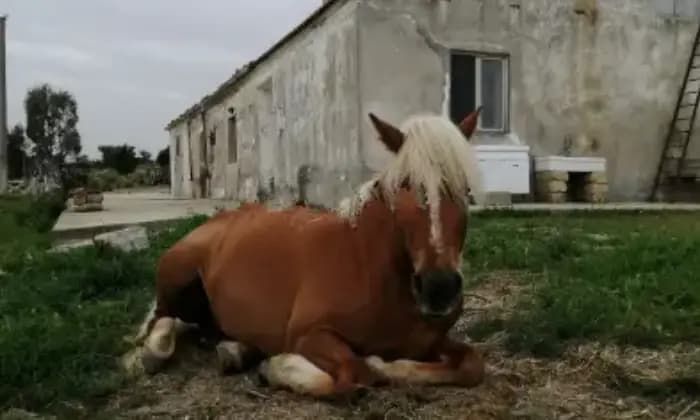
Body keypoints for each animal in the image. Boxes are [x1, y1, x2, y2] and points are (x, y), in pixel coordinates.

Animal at [134, 108, 490, 398]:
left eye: (465, 189)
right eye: (404, 185)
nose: (439, 288)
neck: (369, 264)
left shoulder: (431, 342)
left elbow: (472, 364)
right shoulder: (310, 334)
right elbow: (355, 374)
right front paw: (278, 368)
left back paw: (235, 350)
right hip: (178, 276)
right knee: (164, 315)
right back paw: (155, 352)